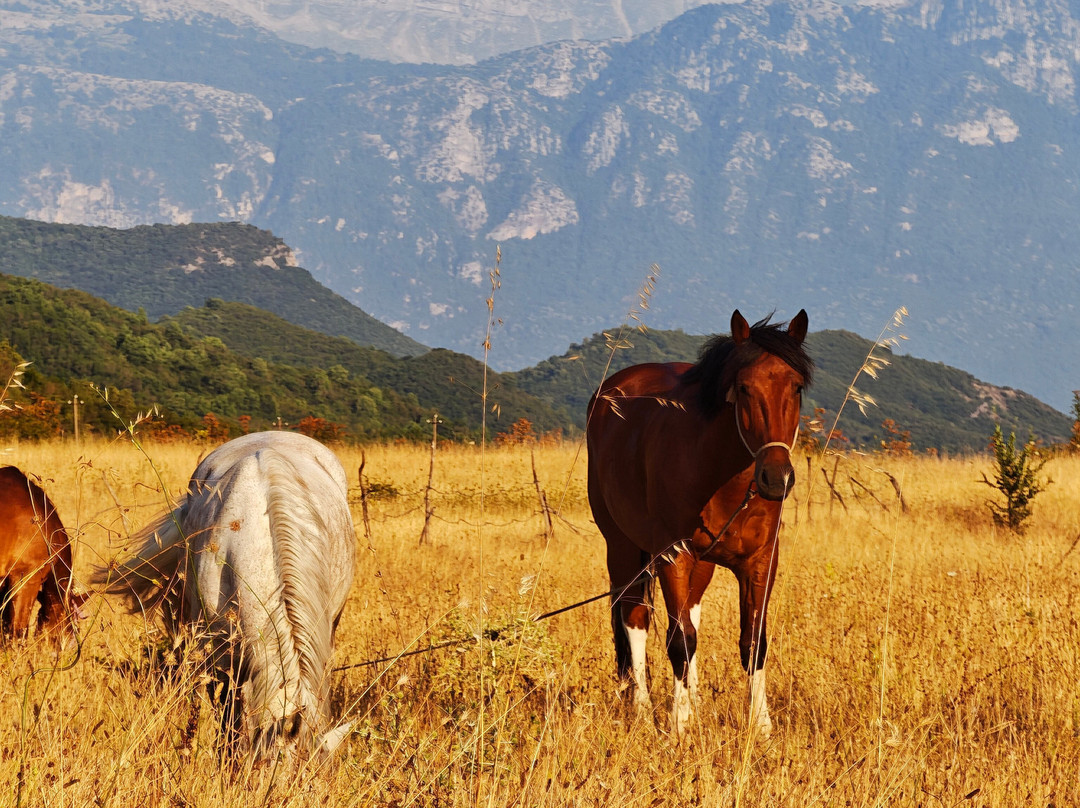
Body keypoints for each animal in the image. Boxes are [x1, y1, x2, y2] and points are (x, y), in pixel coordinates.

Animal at [587, 310, 812, 737]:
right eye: (743, 387)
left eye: (796, 387)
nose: (777, 479)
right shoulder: (673, 556)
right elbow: (678, 641)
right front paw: (679, 724)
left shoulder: (761, 561)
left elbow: (752, 642)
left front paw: (761, 727)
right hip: (622, 548)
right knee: (635, 619)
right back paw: (643, 710)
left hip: (701, 564)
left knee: (690, 615)